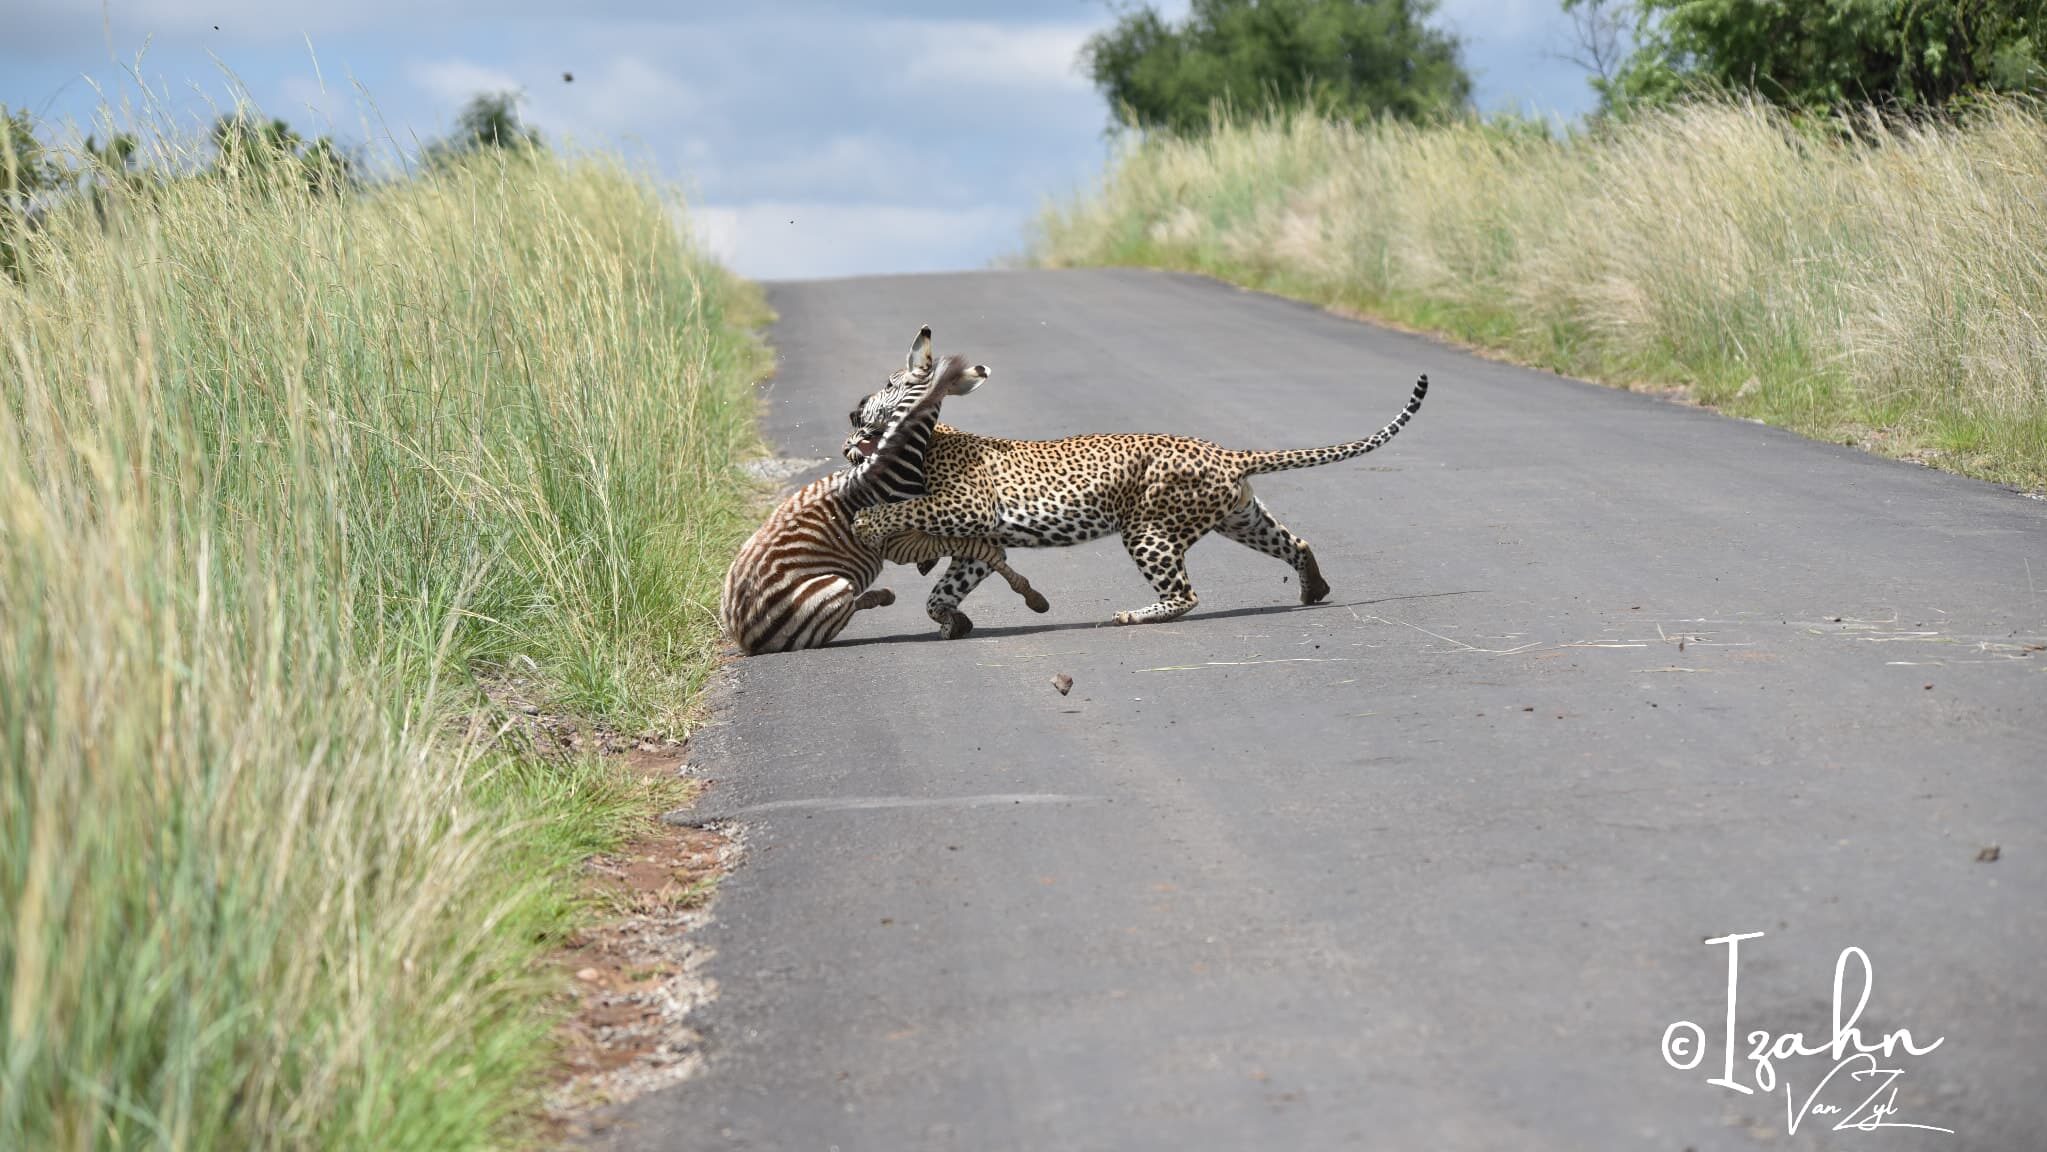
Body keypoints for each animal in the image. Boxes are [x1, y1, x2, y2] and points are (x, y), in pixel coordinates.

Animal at [839, 376, 1432, 630]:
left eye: (882, 392)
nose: (849, 423)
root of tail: (1225, 451)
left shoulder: (966, 506)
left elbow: (904, 510)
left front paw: (867, 522)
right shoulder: (975, 543)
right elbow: (944, 589)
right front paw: (949, 618)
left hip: (1148, 530)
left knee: (1187, 594)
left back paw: (1135, 615)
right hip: (1238, 516)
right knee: (1296, 542)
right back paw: (1314, 589)